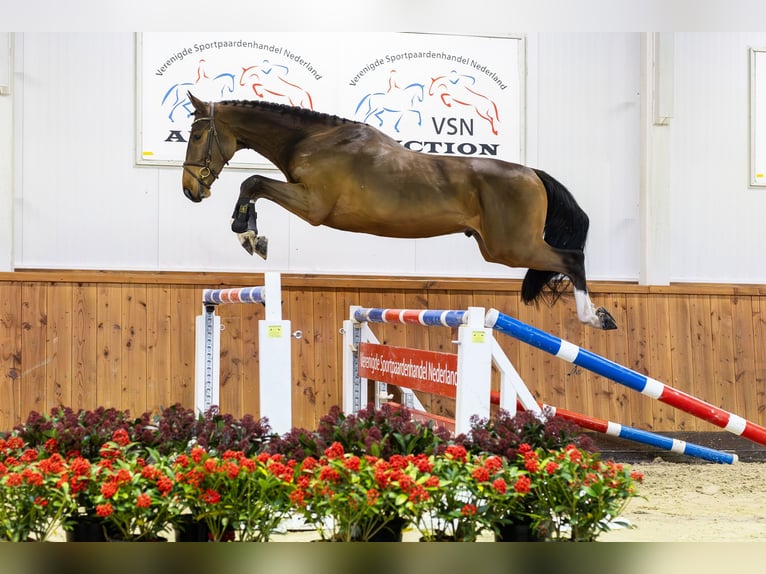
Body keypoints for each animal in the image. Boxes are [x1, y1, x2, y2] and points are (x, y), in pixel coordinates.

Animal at [183, 92, 620, 330]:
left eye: (199, 134)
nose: (190, 190)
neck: (313, 140)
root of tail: (533, 174)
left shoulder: (313, 205)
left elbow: (253, 182)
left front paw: (248, 234)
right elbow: (254, 184)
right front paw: (251, 234)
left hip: (511, 248)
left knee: (571, 258)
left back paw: (595, 317)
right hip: (499, 248)